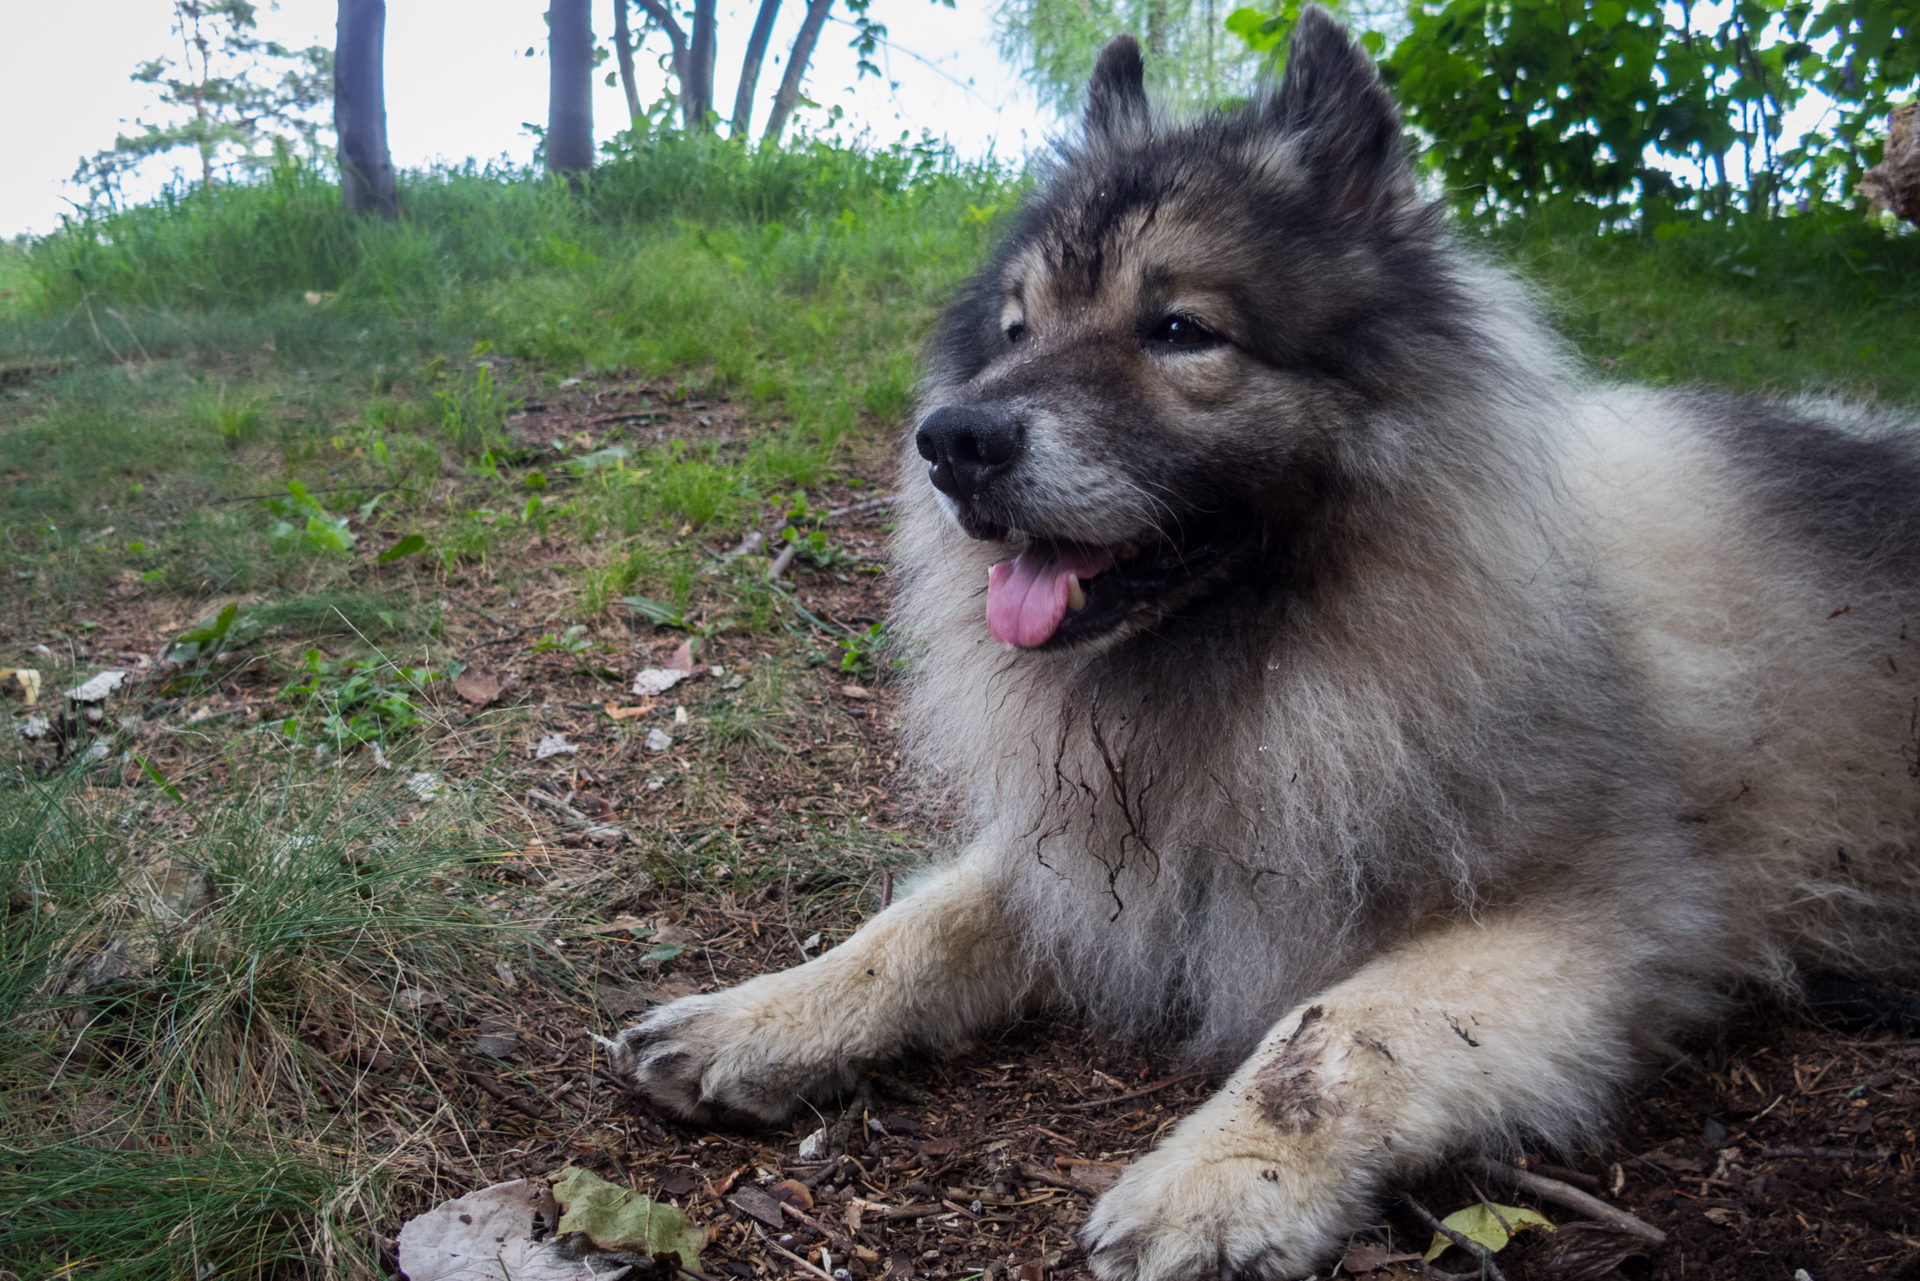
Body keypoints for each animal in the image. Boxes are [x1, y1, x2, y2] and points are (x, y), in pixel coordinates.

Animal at [614, 12, 1920, 1281]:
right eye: (1016, 330)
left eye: (1180, 330)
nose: (953, 440)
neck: (1276, 653)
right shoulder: (1105, 848)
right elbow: (921, 924)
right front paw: (759, 1018)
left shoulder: (1593, 916)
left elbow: (1334, 1033)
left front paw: (1219, 1184)